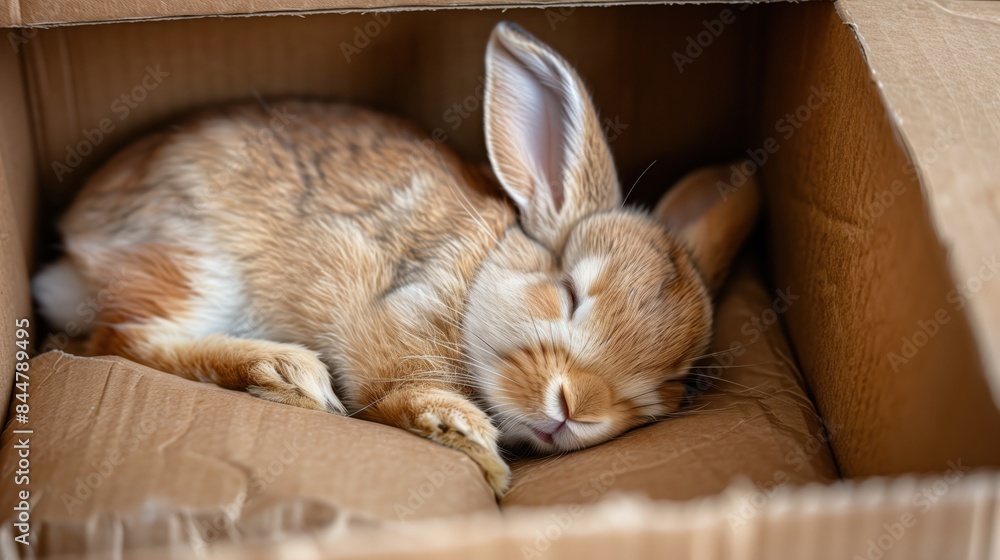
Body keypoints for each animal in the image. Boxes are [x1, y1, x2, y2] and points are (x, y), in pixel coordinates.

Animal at [33, 22, 759, 497]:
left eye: (674, 382)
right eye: (569, 294)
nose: (577, 407)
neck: (478, 276)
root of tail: (71, 244)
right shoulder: (388, 323)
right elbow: (393, 395)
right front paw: (469, 441)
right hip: (195, 265)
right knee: (123, 339)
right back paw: (287, 372)